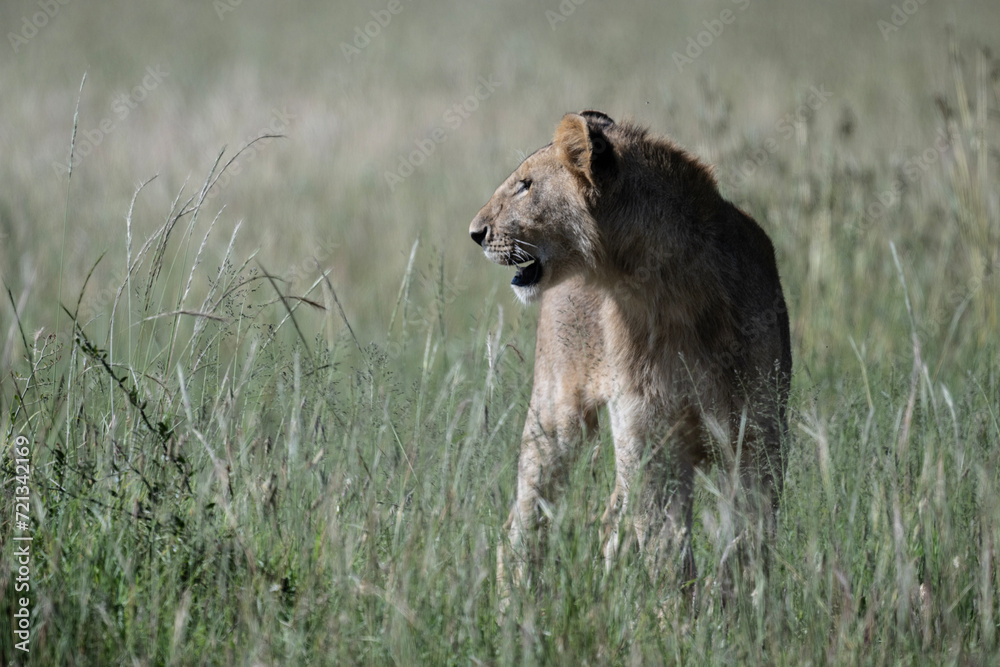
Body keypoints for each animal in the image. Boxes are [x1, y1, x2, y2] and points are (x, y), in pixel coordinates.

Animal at [470, 110, 791, 606]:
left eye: (525, 185)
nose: (475, 232)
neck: (664, 293)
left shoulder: (759, 437)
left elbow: (748, 538)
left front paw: (742, 609)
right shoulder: (652, 440)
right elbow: (667, 544)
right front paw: (679, 616)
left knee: (611, 522)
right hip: (555, 417)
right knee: (522, 526)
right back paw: (513, 607)